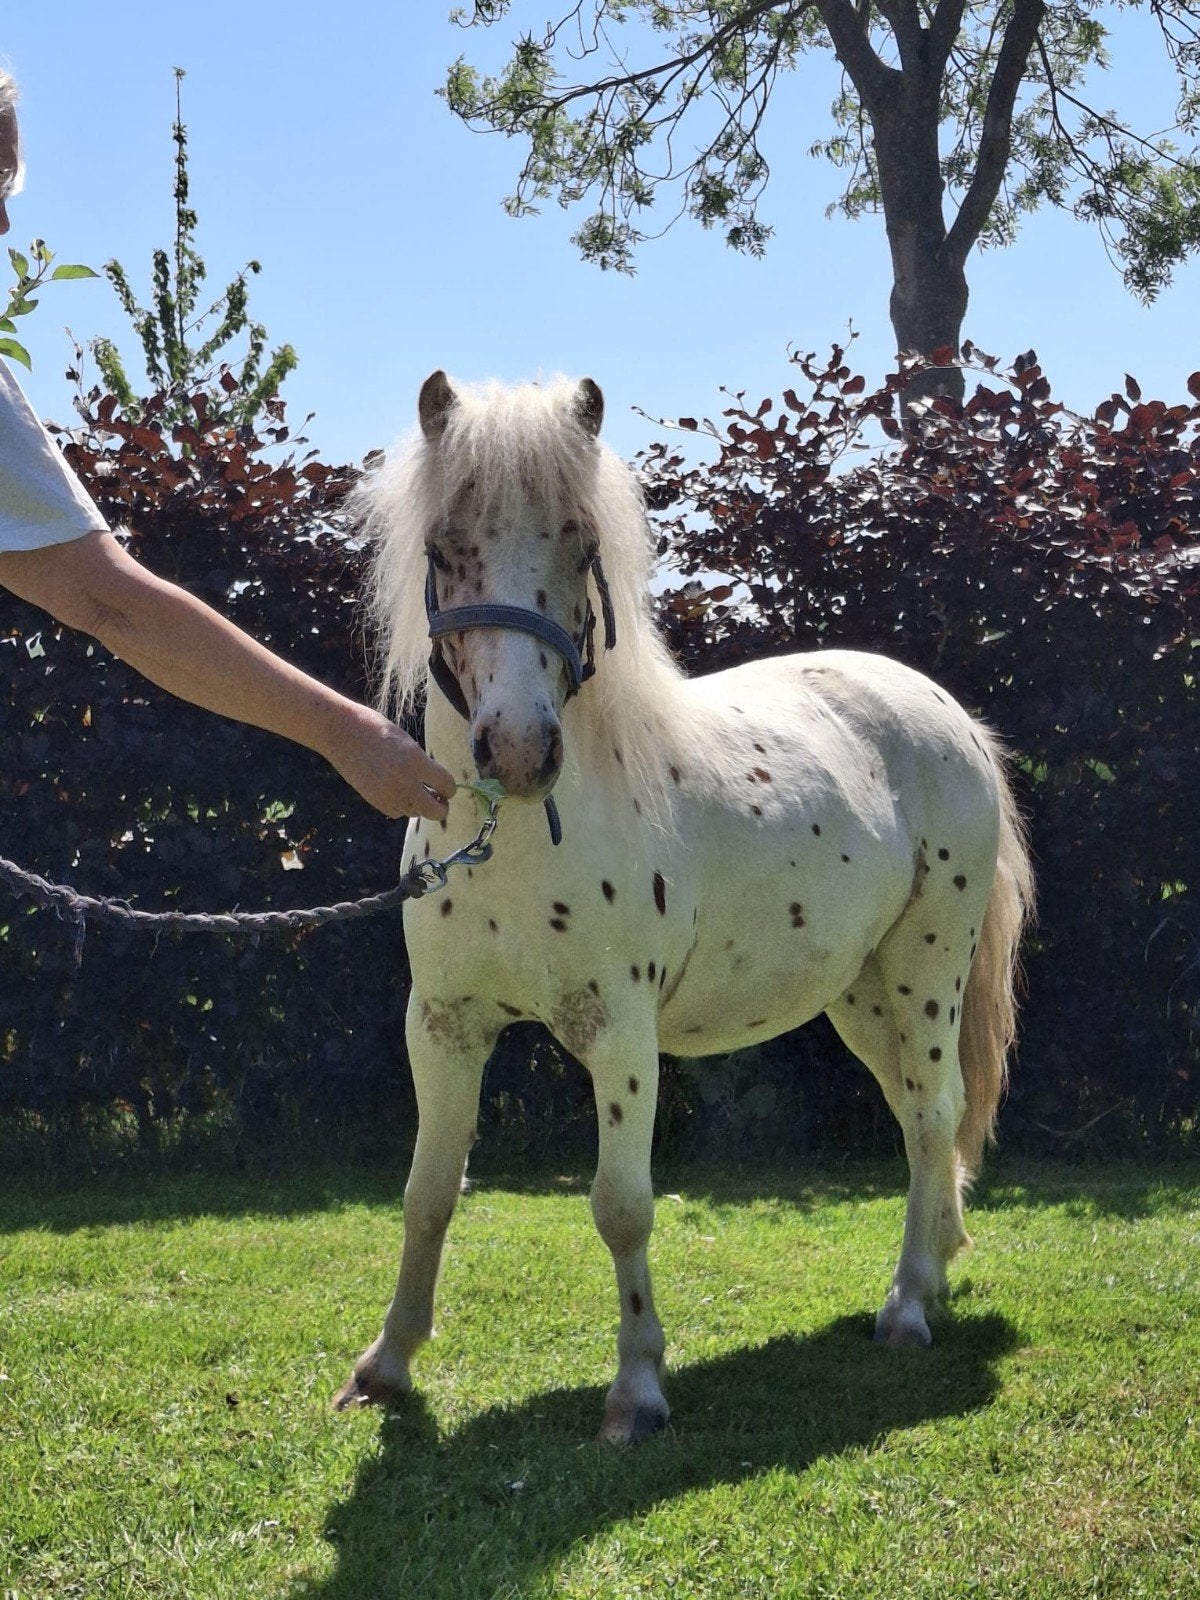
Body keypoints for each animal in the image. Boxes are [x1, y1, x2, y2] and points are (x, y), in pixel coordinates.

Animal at [334, 370, 1035, 1443]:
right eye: (444, 548)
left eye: (582, 544)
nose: (519, 751)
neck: (519, 842)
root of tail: (949, 716)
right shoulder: (444, 1026)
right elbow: (427, 1194)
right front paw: (388, 1365)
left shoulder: (620, 1034)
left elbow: (621, 1204)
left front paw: (637, 1389)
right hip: (861, 994)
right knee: (929, 1114)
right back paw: (942, 1261)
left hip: (927, 971)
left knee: (929, 1117)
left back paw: (909, 1305)